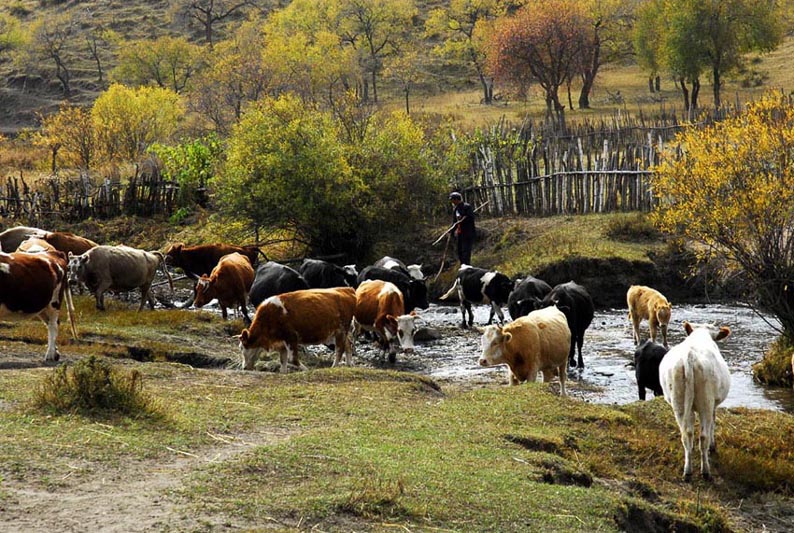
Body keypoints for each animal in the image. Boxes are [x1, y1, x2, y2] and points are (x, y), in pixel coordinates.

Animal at [656, 322, 732, 480]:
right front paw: (713, 446)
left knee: (686, 434)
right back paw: (705, 471)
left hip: (678, 402)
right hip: (706, 402)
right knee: (703, 436)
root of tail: (689, 356)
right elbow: (713, 424)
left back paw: (687, 470)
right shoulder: (713, 405)